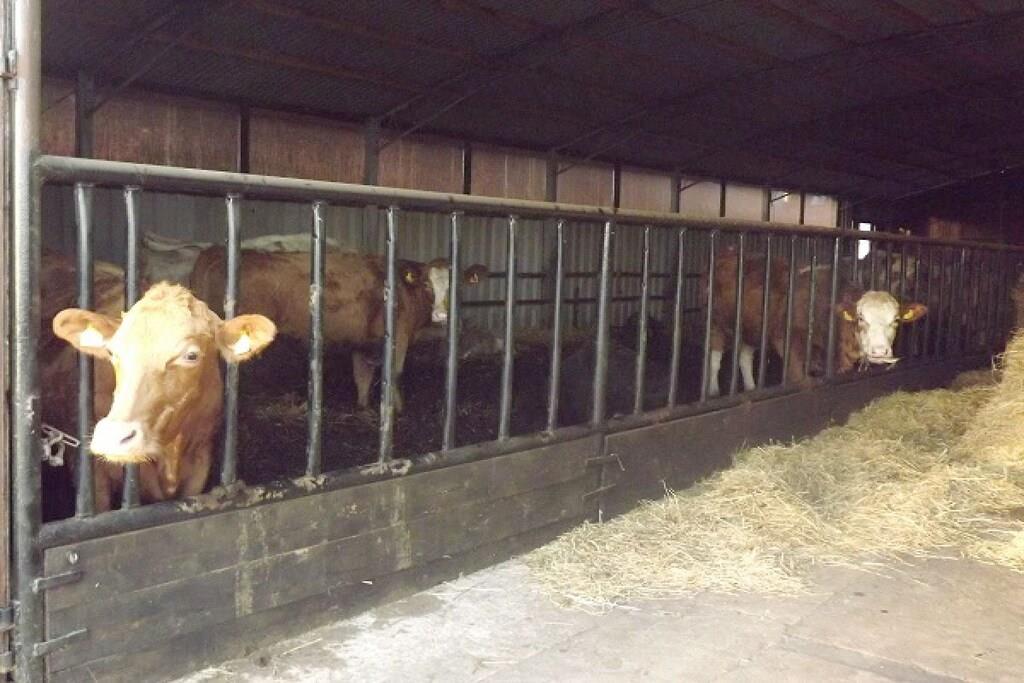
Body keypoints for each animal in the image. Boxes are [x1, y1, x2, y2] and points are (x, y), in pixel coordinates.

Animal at [189, 247, 488, 413]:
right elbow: (395, 373)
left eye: (457, 286)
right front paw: (396, 410)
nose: (442, 315)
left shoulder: (363, 342)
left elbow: (363, 376)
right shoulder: (399, 337)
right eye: (426, 285)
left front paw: (363, 405)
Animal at [707, 250, 927, 397]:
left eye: (896, 320)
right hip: (716, 324)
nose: (880, 351)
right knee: (715, 358)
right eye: (860, 318)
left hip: (750, 328)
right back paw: (713, 390)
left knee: (744, 357)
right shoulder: (789, 347)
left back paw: (751, 387)